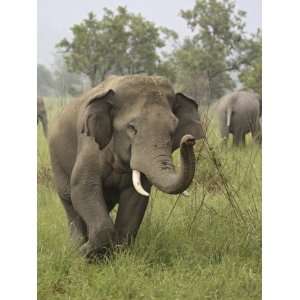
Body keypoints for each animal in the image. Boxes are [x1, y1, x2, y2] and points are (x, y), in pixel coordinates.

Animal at [48, 74, 204, 258]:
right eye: (132, 128)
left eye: (173, 131)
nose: (189, 140)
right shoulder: (89, 143)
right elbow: (83, 187)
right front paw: (85, 254)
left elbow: (136, 199)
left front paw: (115, 256)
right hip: (57, 161)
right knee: (70, 203)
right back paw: (75, 249)